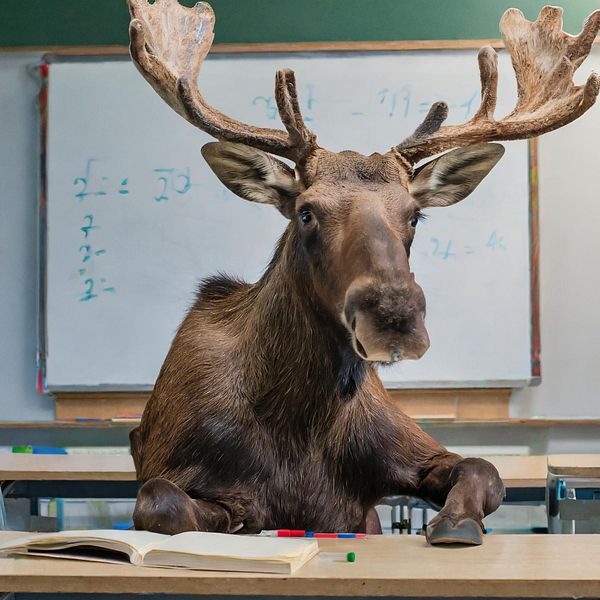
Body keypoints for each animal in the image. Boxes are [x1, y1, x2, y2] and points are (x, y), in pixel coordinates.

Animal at [127, 0, 600, 544]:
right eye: (306, 211)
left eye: (414, 215)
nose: (393, 314)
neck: (301, 420)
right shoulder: (170, 463)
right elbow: (163, 502)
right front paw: (242, 520)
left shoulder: (402, 458)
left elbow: (485, 469)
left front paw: (456, 521)